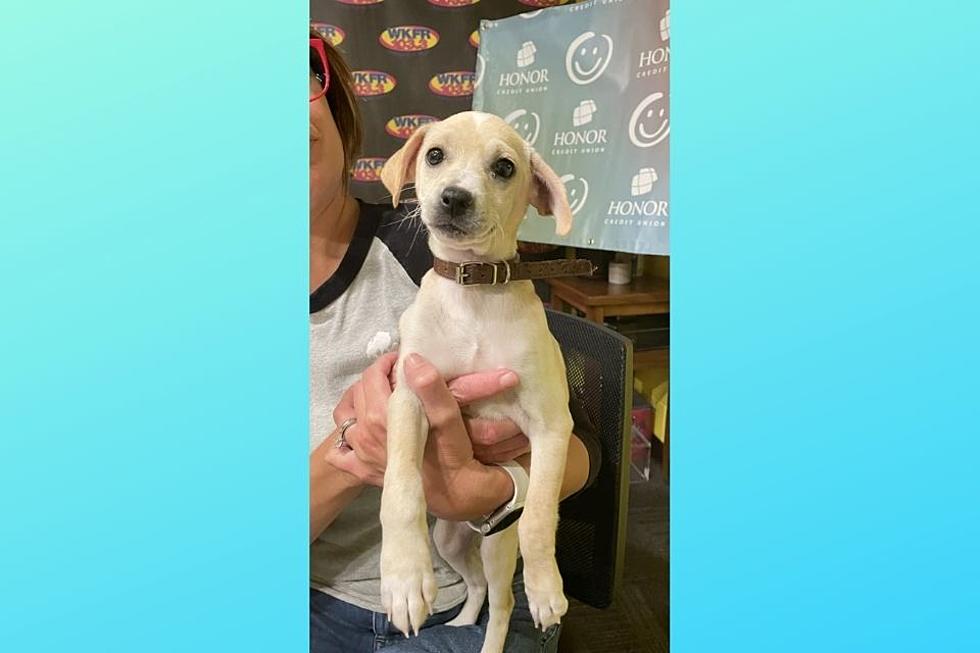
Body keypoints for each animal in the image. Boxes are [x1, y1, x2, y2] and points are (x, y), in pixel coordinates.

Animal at [376, 112, 576, 652]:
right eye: (435, 155)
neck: (474, 291)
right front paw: (404, 578)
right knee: (477, 587)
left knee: (501, 601)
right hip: (447, 539)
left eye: (504, 167)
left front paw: (546, 586)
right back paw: (461, 621)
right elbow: (400, 486)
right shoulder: (409, 395)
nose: (454, 197)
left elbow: (540, 515)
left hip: (496, 546)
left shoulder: (552, 425)